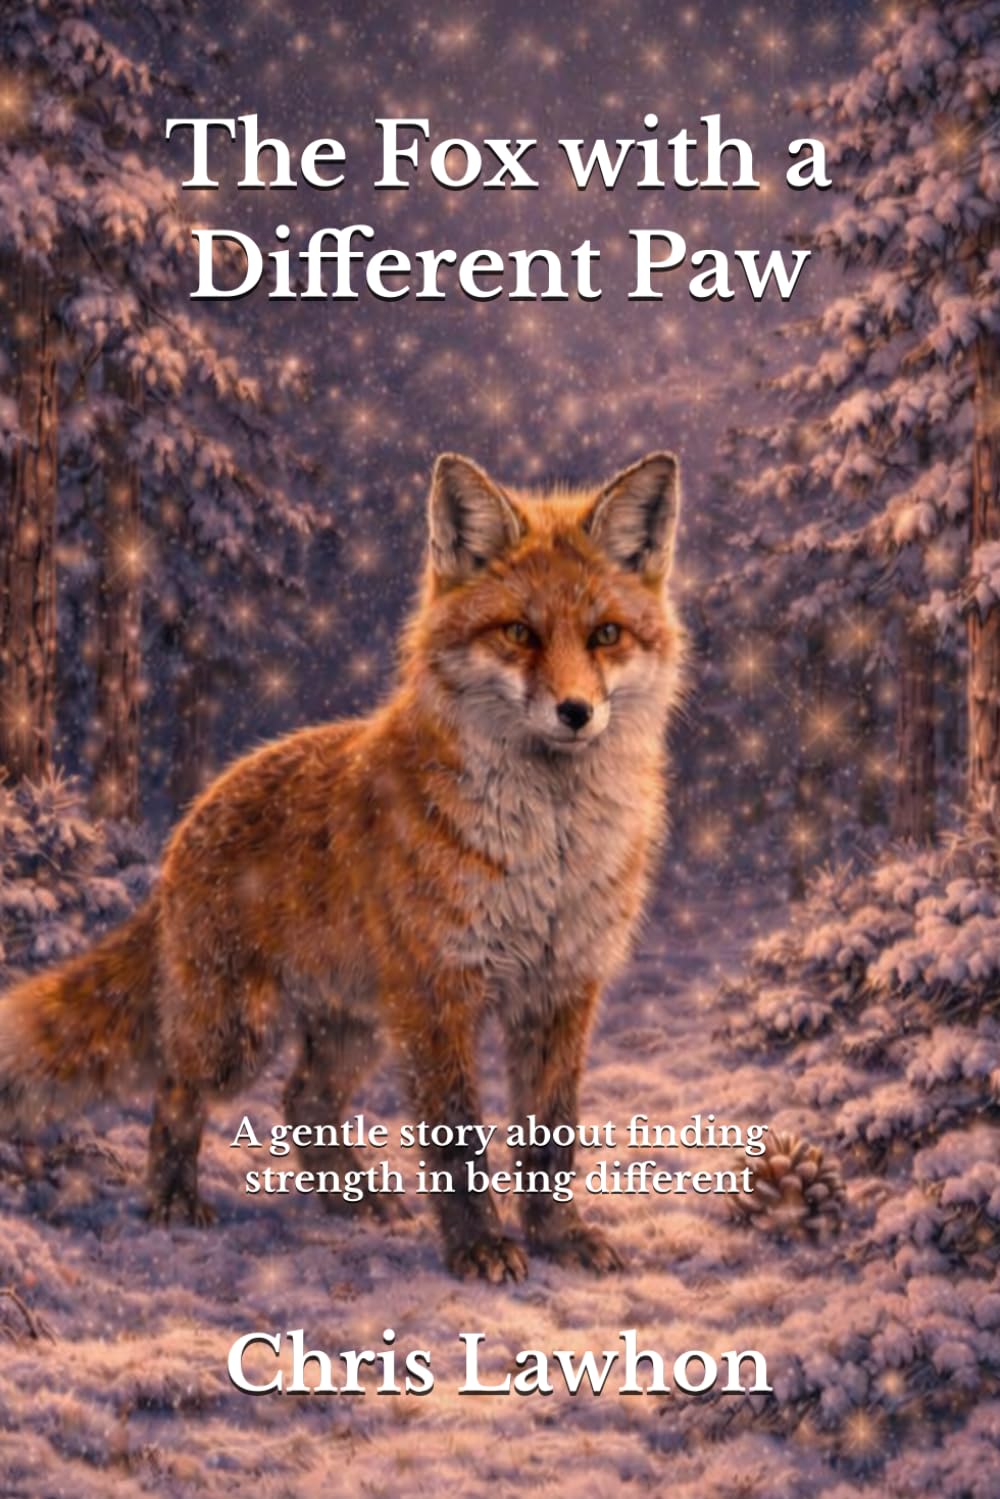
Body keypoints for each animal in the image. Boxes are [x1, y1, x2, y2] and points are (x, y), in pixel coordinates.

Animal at [0, 450, 685, 1283]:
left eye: (605, 634)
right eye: (519, 631)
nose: (576, 712)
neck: (547, 854)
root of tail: (193, 817)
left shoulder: (562, 990)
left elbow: (551, 1137)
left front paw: (558, 1235)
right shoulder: (438, 990)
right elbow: (458, 1138)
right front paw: (480, 1245)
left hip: (353, 1026)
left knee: (304, 1100)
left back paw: (349, 1197)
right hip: (243, 1032)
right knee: (176, 1089)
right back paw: (171, 1201)